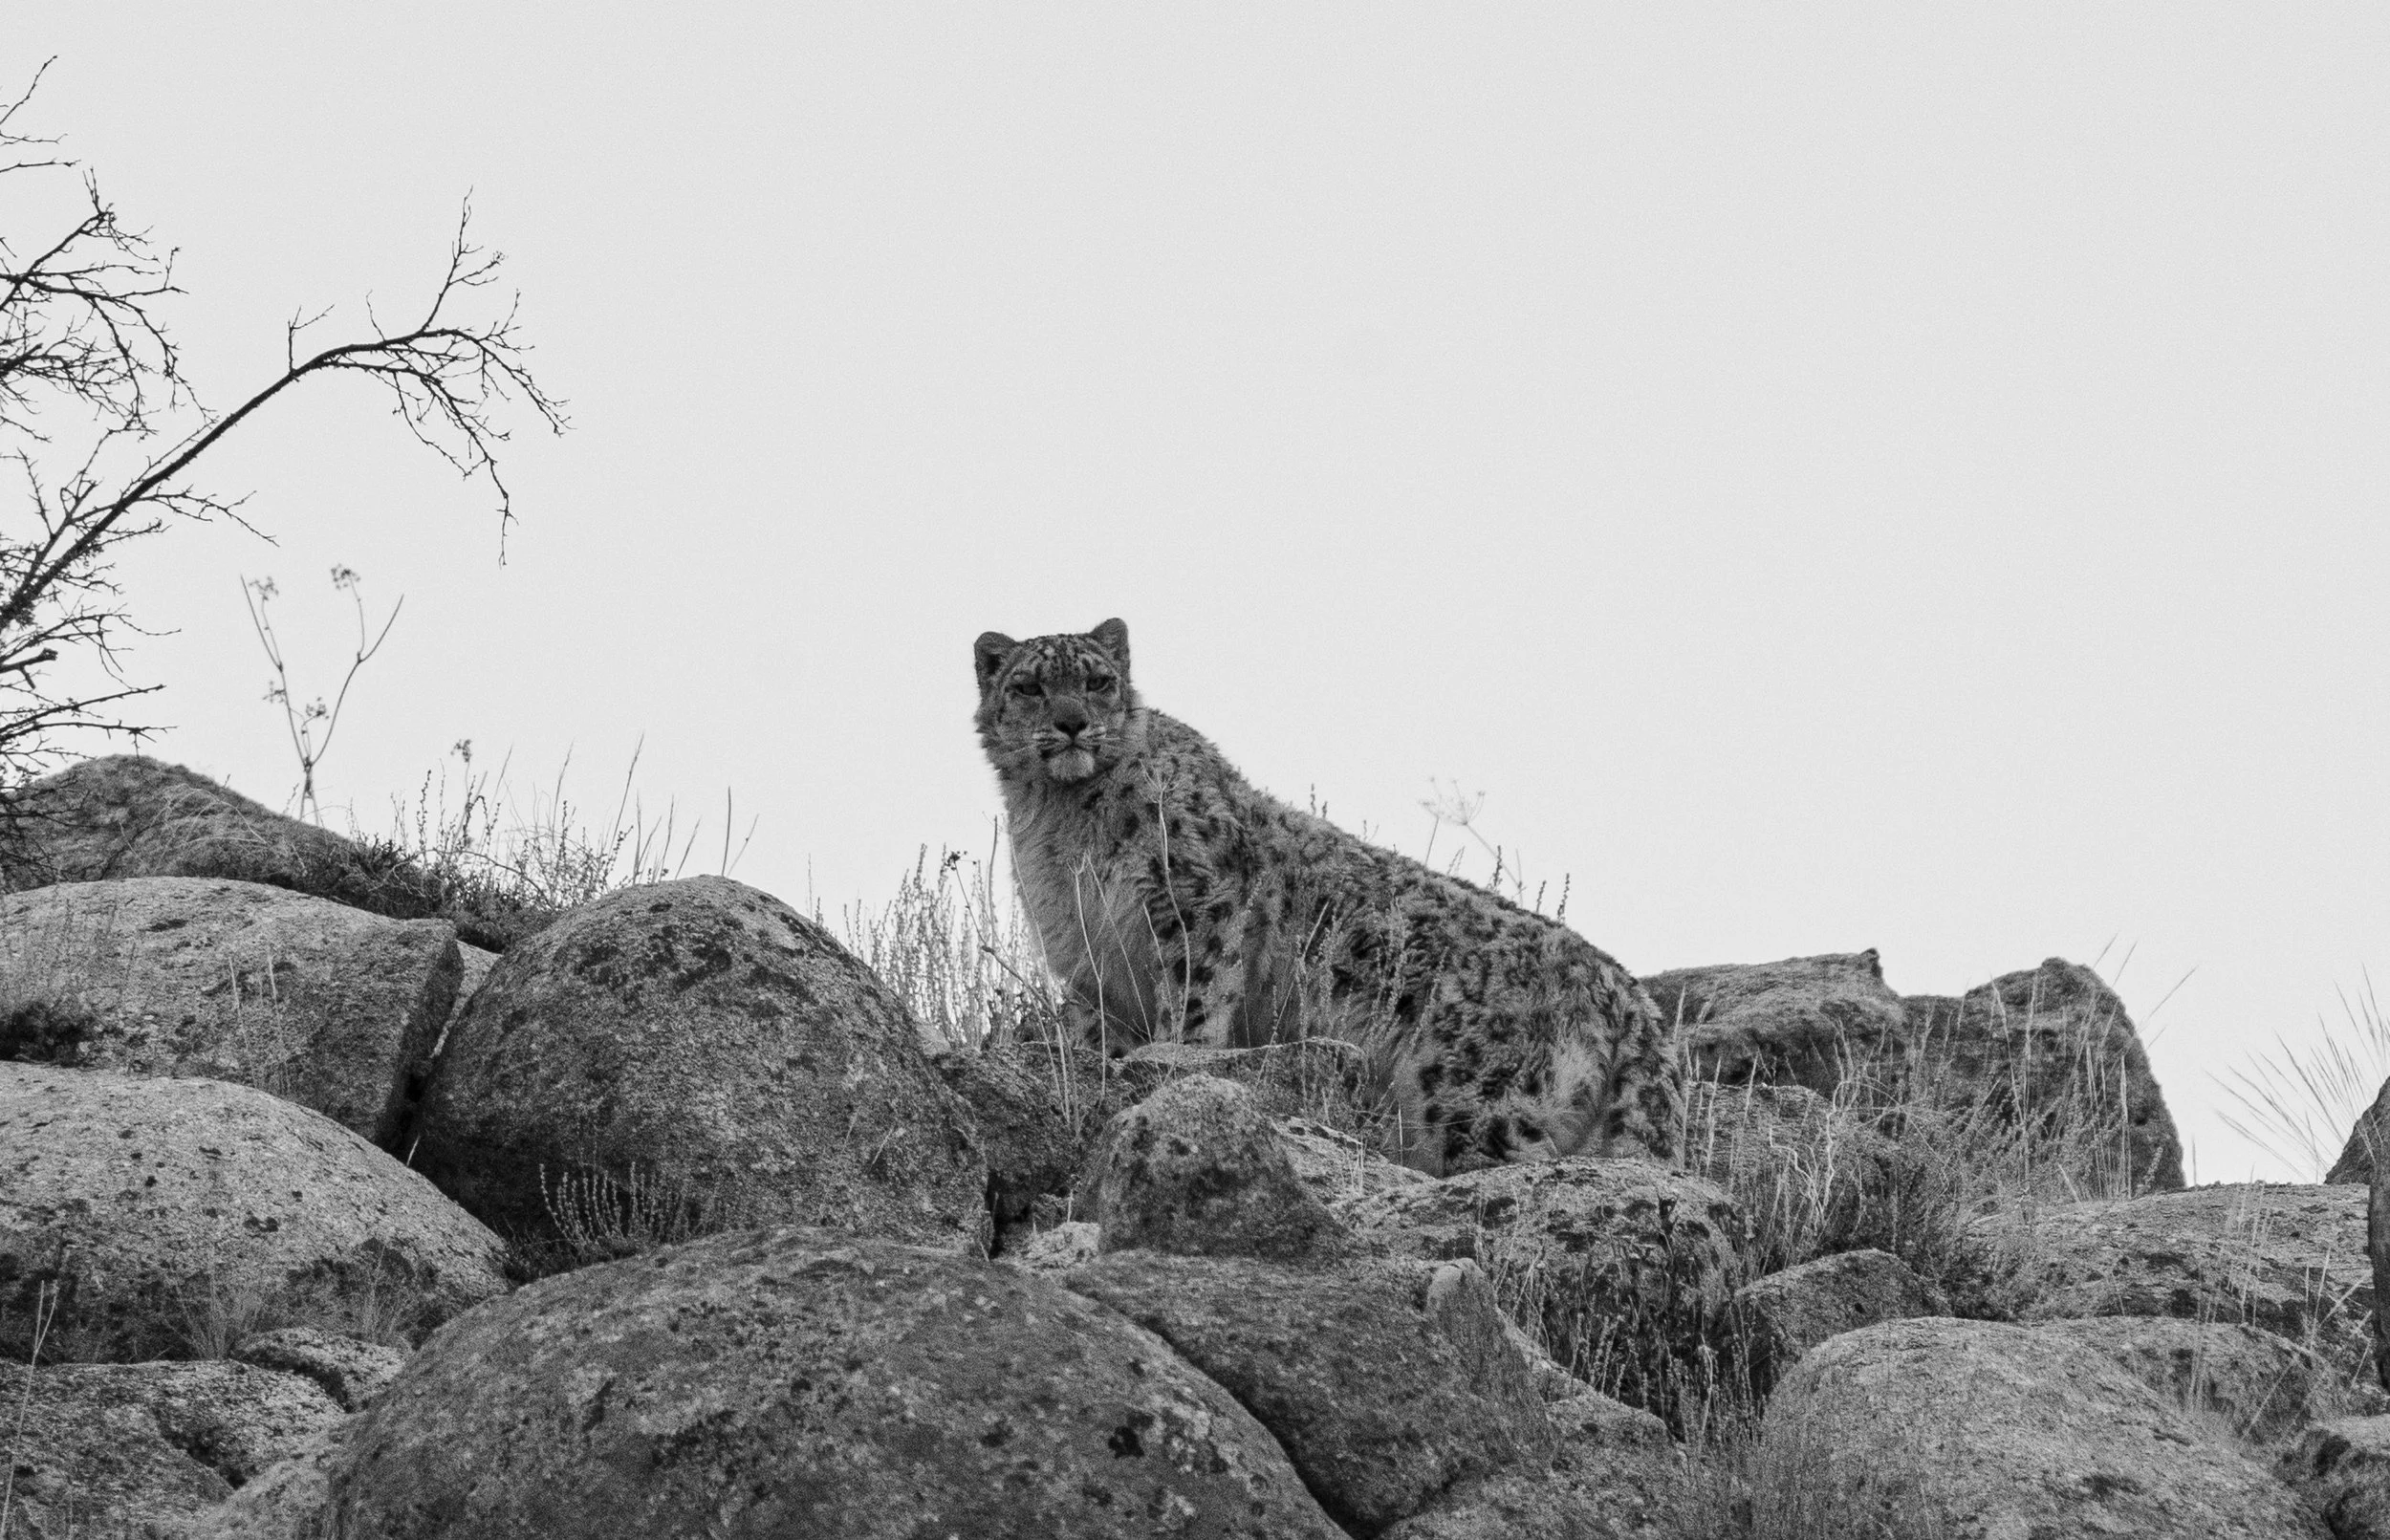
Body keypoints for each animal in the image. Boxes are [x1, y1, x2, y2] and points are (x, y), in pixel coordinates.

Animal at [973, 617, 1681, 1172]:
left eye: (1097, 681)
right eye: (1029, 686)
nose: (1071, 723)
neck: (1062, 829)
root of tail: (1624, 989)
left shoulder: (1196, 899)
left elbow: (1196, 996)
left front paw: (1175, 1058)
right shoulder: (1090, 956)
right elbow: (1095, 1026)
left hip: (1476, 1091)